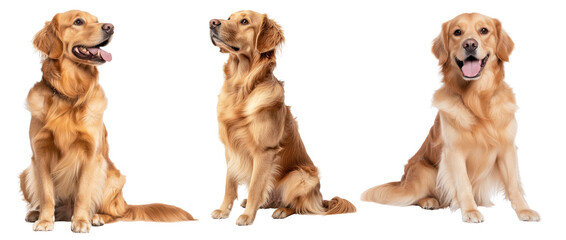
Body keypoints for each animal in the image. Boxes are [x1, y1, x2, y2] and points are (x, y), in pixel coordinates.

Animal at [20, 10, 195, 233]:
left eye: (96, 20)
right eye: (78, 21)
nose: (110, 27)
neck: (70, 94)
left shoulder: (91, 156)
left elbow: (83, 193)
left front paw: (81, 221)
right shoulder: (40, 153)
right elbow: (46, 193)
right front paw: (44, 220)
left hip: (112, 178)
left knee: (117, 214)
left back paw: (96, 217)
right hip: (25, 173)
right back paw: (36, 214)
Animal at [211, 10, 358, 226]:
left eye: (244, 21)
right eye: (229, 18)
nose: (212, 22)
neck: (242, 87)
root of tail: (321, 198)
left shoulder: (265, 151)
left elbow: (255, 186)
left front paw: (247, 217)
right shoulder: (230, 149)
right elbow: (229, 184)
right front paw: (223, 210)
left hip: (301, 176)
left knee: (299, 206)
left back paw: (281, 210)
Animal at [362, 12, 544, 223]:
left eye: (484, 30)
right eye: (457, 32)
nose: (470, 44)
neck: (476, 100)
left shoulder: (507, 149)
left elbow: (514, 184)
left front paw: (524, 210)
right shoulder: (454, 152)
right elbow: (463, 184)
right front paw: (470, 211)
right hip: (423, 170)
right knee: (416, 197)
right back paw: (429, 201)